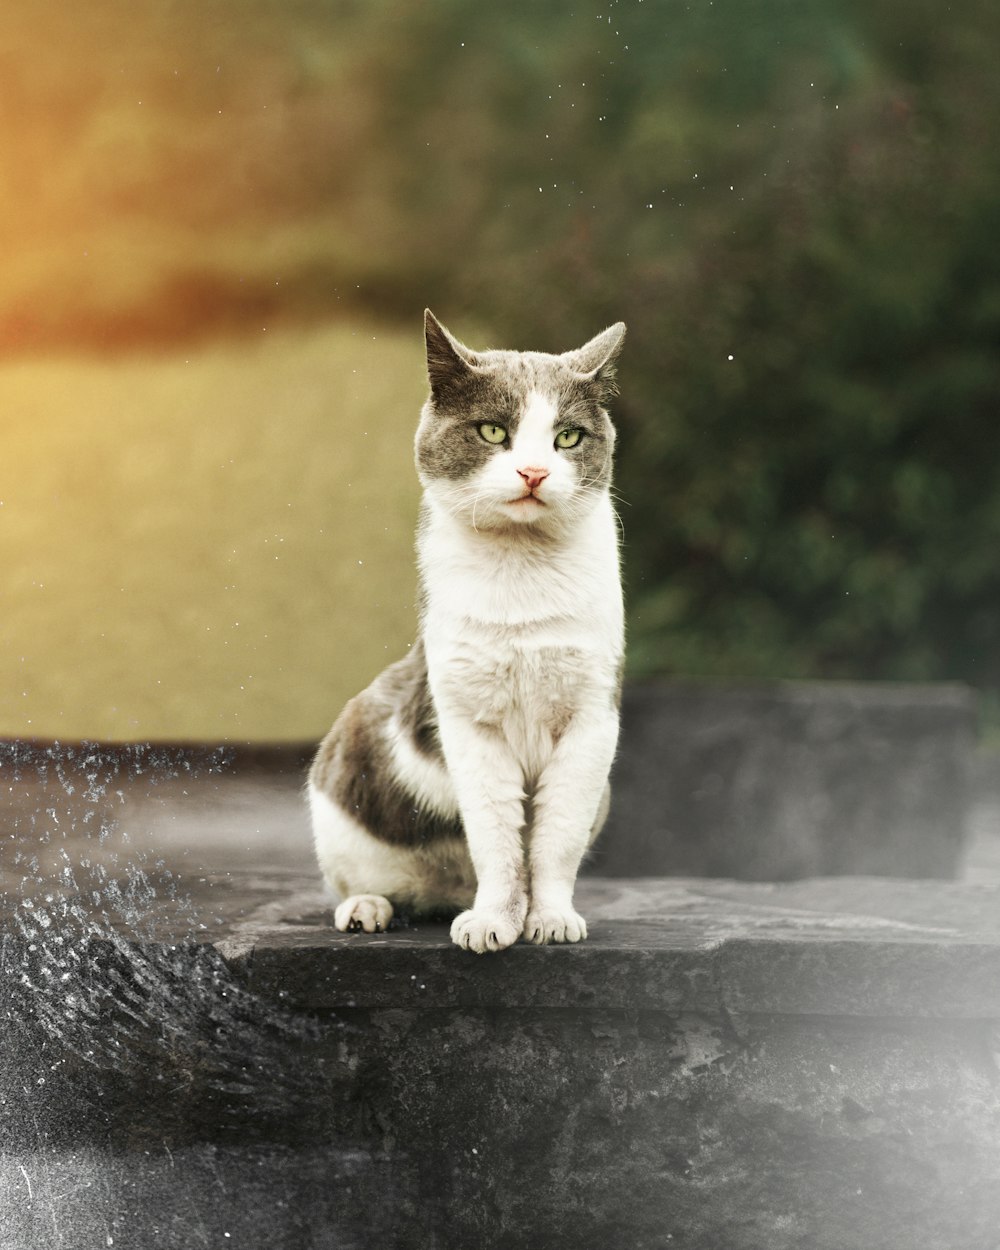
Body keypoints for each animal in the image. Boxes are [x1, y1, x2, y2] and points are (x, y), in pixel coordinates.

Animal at [308, 312, 625, 955]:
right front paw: (492, 923)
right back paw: (370, 909)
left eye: (568, 438)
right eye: (492, 430)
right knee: (359, 880)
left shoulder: (592, 718)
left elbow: (554, 840)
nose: (534, 472)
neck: (522, 572)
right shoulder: (468, 719)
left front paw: (549, 919)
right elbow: (497, 837)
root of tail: (441, 893)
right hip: (342, 771)